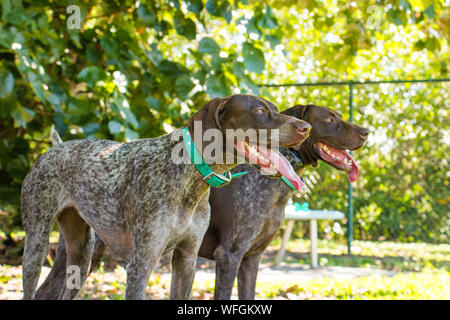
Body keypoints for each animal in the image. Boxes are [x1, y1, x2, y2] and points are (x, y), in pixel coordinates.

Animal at [21, 94, 310, 298]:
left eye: (276, 109)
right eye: (260, 111)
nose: (305, 127)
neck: (190, 178)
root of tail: (55, 148)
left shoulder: (186, 260)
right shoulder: (141, 264)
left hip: (81, 258)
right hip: (37, 245)